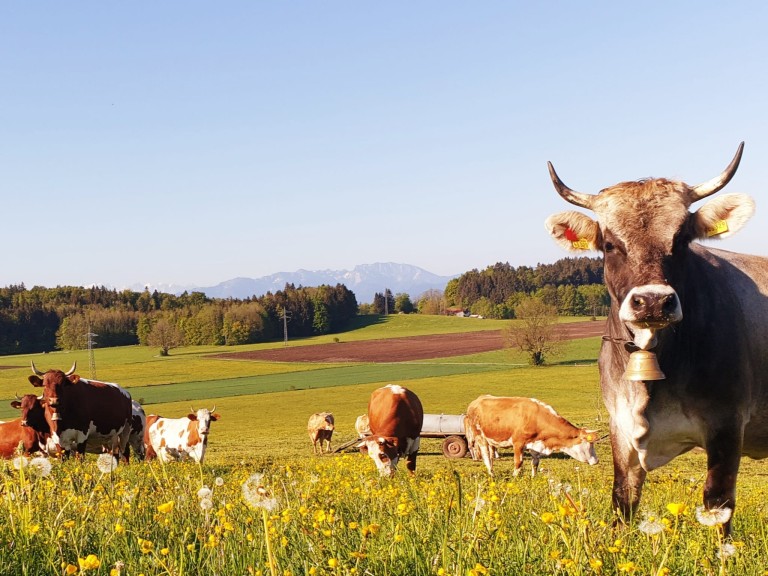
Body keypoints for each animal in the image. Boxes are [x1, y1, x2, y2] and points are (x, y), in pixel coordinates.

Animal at [462, 396, 600, 476]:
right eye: (589, 444)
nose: (597, 461)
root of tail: (475, 402)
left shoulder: (535, 444)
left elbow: (535, 463)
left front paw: (534, 477)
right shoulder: (518, 443)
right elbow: (518, 463)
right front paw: (515, 478)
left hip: (491, 439)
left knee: (491, 456)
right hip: (480, 437)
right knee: (486, 457)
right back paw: (491, 475)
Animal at [544, 142, 768, 532]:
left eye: (681, 239)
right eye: (609, 245)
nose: (652, 301)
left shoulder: (727, 425)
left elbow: (718, 507)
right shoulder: (621, 427)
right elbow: (624, 501)